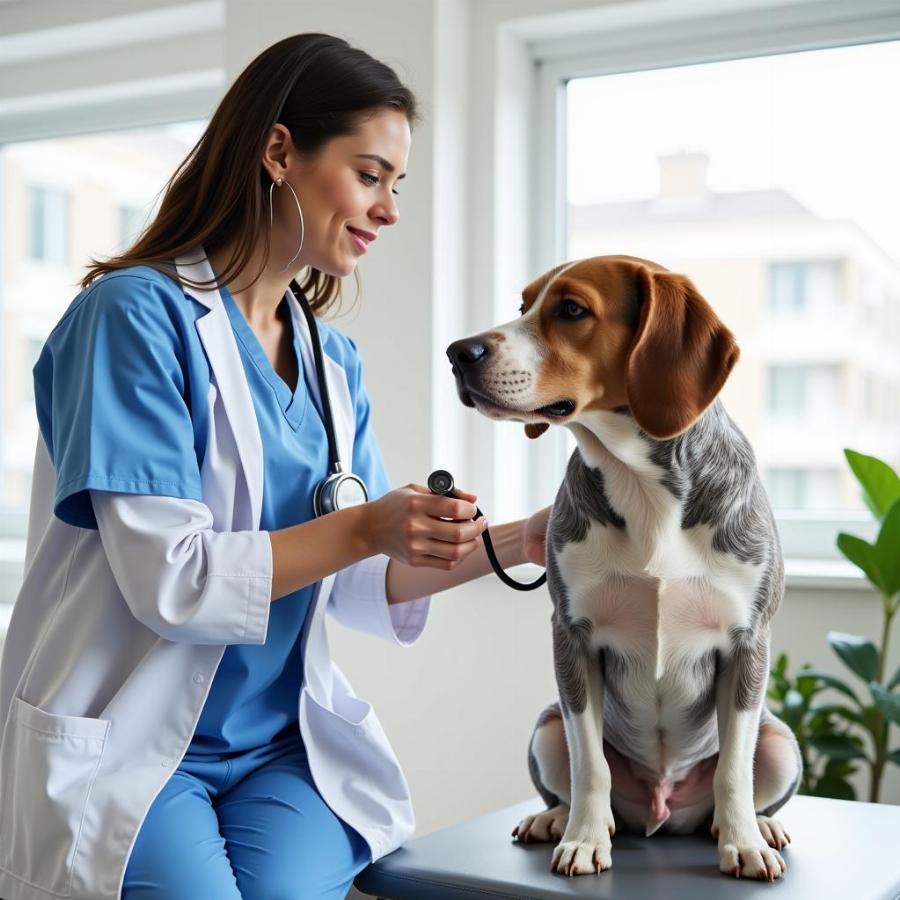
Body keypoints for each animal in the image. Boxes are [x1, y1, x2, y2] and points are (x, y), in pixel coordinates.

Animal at [450, 253, 800, 880]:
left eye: (571, 309)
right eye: (523, 306)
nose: (458, 352)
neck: (642, 488)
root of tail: (664, 810)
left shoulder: (748, 643)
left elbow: (735, 771)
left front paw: (743, 842)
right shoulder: (574, 640)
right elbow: (591, 766)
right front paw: (584, 838)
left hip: (780, 740)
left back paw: (755, 826)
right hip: (545, 727)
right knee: (573, 776)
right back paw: (553, 819)